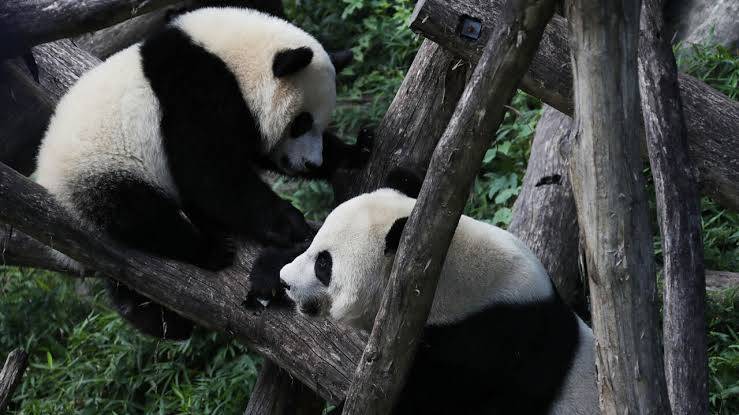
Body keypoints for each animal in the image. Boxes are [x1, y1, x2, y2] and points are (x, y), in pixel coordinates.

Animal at [34, 7, 370, 340]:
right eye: (301, 122)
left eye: (319, 123)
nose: (311, 162)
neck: (231, 59)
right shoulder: (193, 93)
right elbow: (210, 173)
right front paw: (290, 224)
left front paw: (354, 152)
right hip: (103, 172)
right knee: (141, 215)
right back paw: (209, 251)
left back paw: (159, 319)